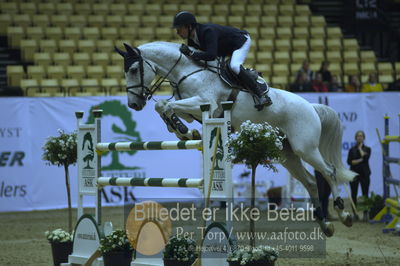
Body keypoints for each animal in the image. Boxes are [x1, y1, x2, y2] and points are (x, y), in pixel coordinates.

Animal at [115, 41, 356, 237]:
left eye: (134, 70)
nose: (134, 104)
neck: (187, 71)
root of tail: (311, 106)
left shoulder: (205, 104)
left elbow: (165, 105)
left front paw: (181, 129)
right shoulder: (194, 110)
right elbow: (165, 108)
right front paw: (184, 131)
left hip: (305, 148)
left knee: (329, 171)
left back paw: (343, 213)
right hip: (288, 154)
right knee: (311, 182)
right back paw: (325, 224)